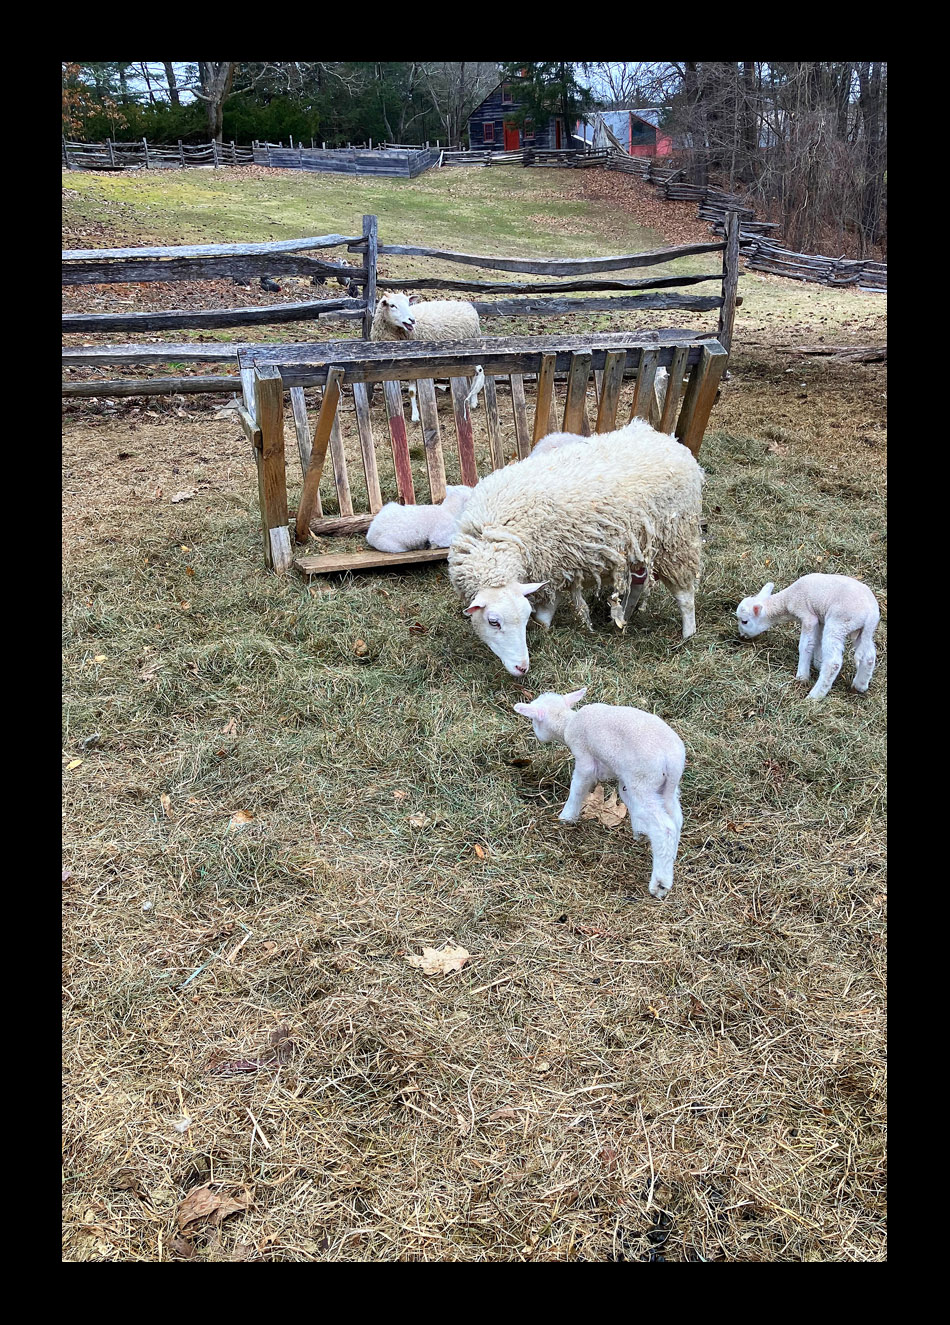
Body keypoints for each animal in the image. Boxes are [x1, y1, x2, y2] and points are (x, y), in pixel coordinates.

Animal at [370, 292, 483, 423]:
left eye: (408, 303)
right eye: (392, 305)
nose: (412, 320)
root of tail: (468, 305)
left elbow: (412, 391)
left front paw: (415, 415)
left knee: (476, 374)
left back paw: (473, 402)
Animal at [449, 417, 704, 676]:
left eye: (524, 616)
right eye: (494, 622)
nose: (522, 667)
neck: (494, 538)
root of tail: (670, 441)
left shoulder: (550, 570)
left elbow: (544, 616)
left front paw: (545, 632)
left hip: (675, 541)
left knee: (684, 594)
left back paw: (687, 634)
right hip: (637, 545)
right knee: (638, 583)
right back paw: (623, 618)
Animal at [513, 687, 686, 900]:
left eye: (535, 721)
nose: (537, 736)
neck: (568, 723)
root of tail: (672, 760)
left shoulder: (584, 757)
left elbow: (578, 786)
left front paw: (567, 817)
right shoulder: (619, 774)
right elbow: (625, 796)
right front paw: (639, 831)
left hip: (643, 780)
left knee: (665, 828)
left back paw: (660, 884)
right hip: (665, 787)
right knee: (675, 819)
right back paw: (668, 860)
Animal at [736, 573, 881, 701]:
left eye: (744, 621)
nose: (741, 636)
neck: (787, 600)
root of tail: (871, 613)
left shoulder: (808, 616)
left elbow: (805, 646)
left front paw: (802, 676)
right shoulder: (820, 619)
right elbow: (817, 642)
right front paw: (818, 662)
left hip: (839, 623)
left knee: (833, 662)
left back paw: (814, 696)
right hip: (861, 630)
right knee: (869, 656)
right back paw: (859, 686)